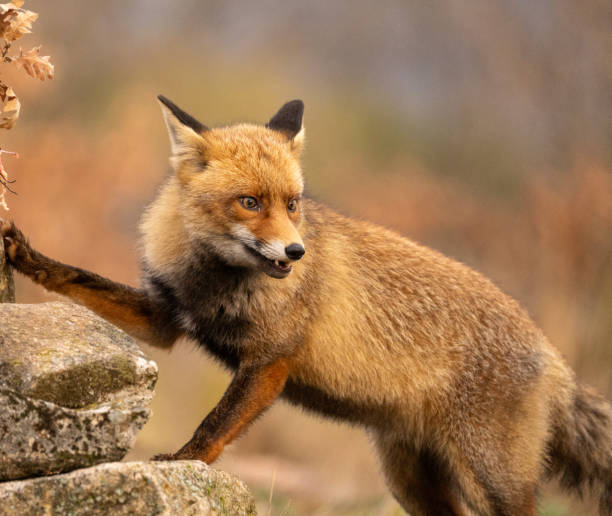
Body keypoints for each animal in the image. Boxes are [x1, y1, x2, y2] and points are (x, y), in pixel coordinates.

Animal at [1, 98, 612, 516]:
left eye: (293, 203)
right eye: (249, 202)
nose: (296, 252)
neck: (216, 285)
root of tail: (553, 356)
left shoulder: (272, 361)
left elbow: (213, 426)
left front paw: (182, 463)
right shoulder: (165, 319)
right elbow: (79, 280)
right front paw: (28, 258)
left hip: (491, 481)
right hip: (411, 481)